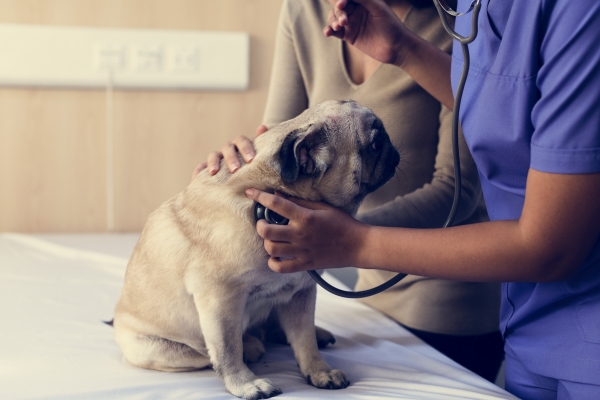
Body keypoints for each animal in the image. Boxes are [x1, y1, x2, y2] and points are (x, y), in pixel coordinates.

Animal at [113, 98, 404, 398]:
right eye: (376, 142)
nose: (394, 149)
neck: (271, 191)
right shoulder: (220, 300)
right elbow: (227, 350)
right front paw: (245, 384)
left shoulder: (301, 292)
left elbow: (305, 341)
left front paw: (319, 371)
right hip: (156, 348)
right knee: (207, 353)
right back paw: (251, 346)